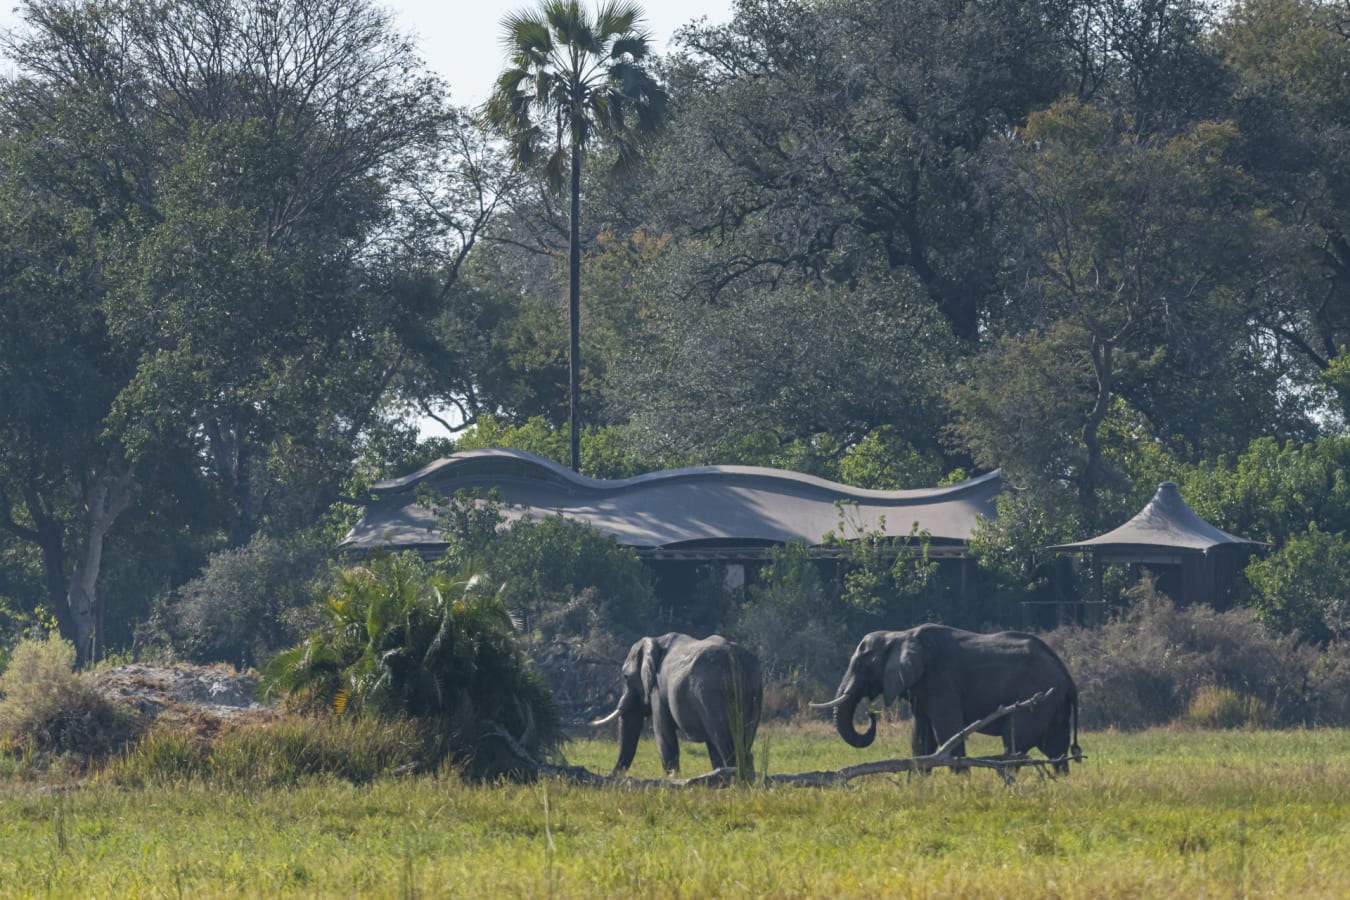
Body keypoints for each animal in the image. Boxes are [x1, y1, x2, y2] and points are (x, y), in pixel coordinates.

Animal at [591, 633, 762, 776]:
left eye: (626, 677)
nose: (610, 775)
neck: (655, 640)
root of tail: (735, 658)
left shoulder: (657, 689)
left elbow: (662, 732)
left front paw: (673, 777)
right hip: (754, 691)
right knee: (743, 743)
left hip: (712, 694)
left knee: (724, 742)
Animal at [811, 625, 1080, 773]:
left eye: (861, 666)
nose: (871, 714)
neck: (899, 635)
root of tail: (1067, 675)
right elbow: (922, 738)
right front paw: (918, 785)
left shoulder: (940, 681)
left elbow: (948, 731)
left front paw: (961, 783)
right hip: (1054, 704)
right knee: (1055, 747)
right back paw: (1060, 780)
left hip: (1039, 697)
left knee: (1015, 742)